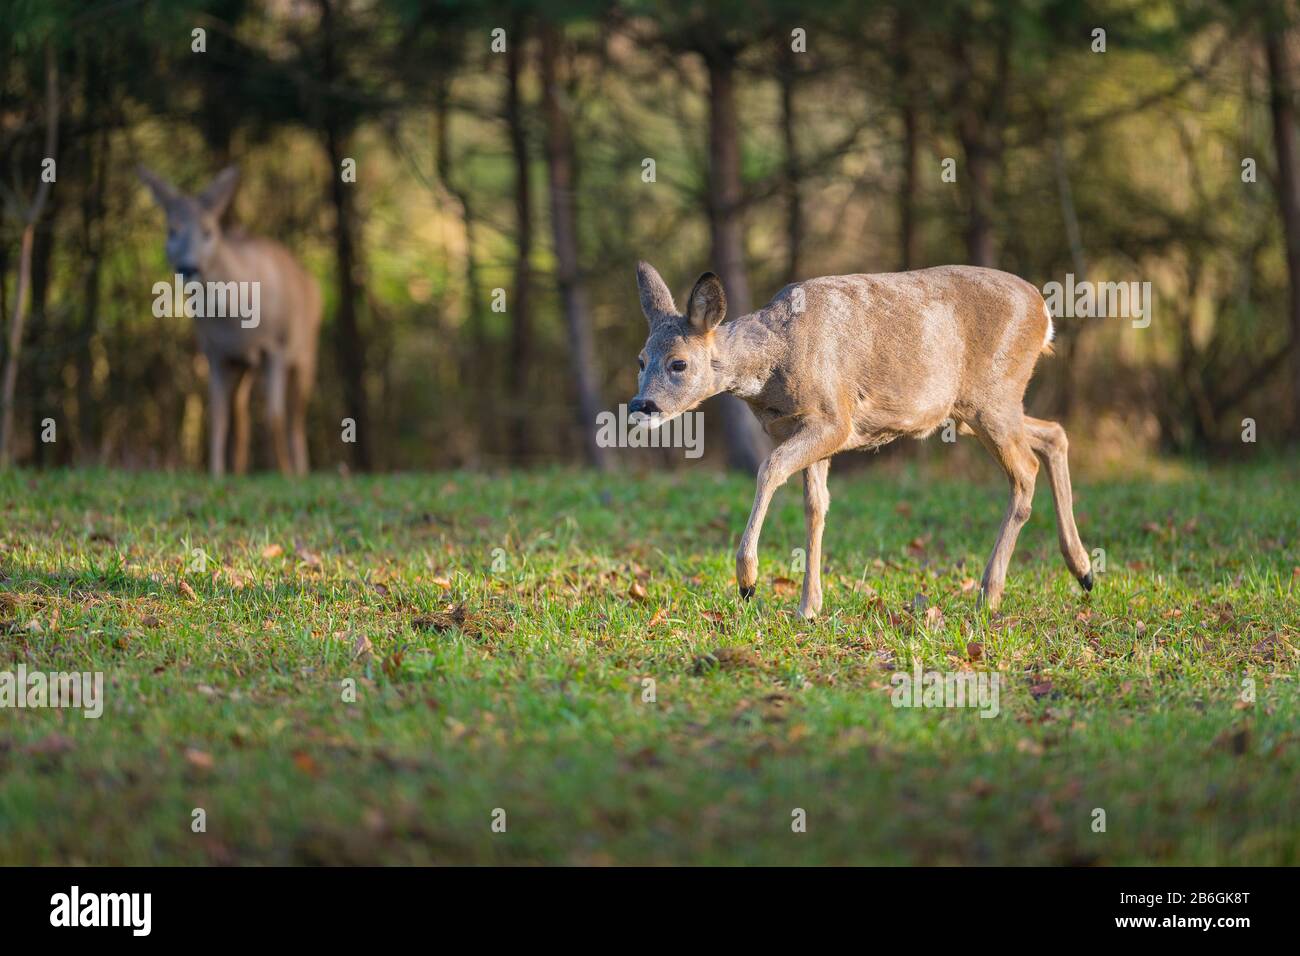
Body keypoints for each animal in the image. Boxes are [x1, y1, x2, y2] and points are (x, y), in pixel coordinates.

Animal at [138, 165, 321, 476]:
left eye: (208, 231)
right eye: (171, 230)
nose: (188, 267)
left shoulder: (275, 348)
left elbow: (274, 416)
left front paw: (285, 474)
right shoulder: (217, 354)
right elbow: (218, 416)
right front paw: (216, 473)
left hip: (305, 350)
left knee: (295, 416)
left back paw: (299, 469)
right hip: (244, 366)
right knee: (240, 411)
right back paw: (239, 470)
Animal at [629, 261, 1094, 619]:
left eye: (678, 363)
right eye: (641, 359)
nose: (640, 404)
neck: (776, 358)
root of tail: (1044, 314)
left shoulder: (834, 418)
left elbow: (769, 469)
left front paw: (748, 580)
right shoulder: (810, 430)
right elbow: (816, 507)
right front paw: (808, 607)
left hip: (993, 398)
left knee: (1025, 471)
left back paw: (990, 594)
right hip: (973, 411)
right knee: (1054, 435)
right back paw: (1083, 571)